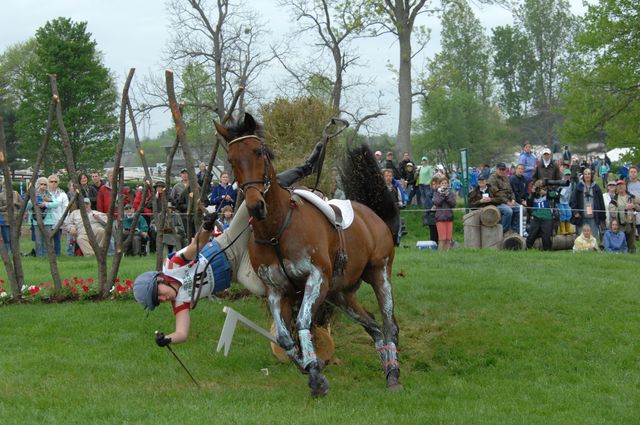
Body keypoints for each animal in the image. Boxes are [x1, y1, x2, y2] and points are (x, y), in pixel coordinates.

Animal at [215, 112, 400, 394]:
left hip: (380, 273)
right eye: (231, 159)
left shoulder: (316, 278)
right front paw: (310, 368)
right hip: (341, 294)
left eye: (259, 152)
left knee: (389, 324)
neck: (277, 229)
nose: (255, 206)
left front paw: (314, 373)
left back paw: (394, 375)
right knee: (373, 325)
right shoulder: (276, 291)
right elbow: (283, 336)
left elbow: (302, 322)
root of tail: (373, 215)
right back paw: (386, 367)